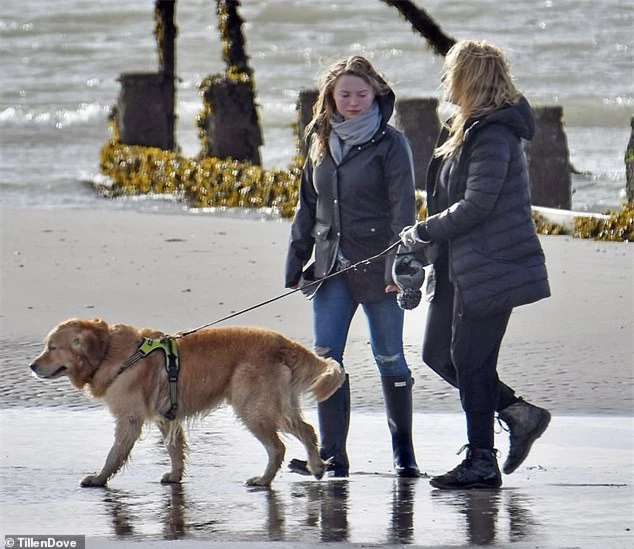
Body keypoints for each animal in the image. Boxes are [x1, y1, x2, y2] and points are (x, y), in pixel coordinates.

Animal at [30, 316, 344, 488]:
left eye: (52, 347)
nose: (32, 366)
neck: (109, 351)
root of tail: (283, 342)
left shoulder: (130, 418)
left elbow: (114, 453)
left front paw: (98, 478)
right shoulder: (165, 415)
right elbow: (174, 449)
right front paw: (175, 475)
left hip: (252, 406)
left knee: (277, 447)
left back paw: (264, 480)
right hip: (278, 405)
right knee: (307, 430)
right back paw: (317, 467)